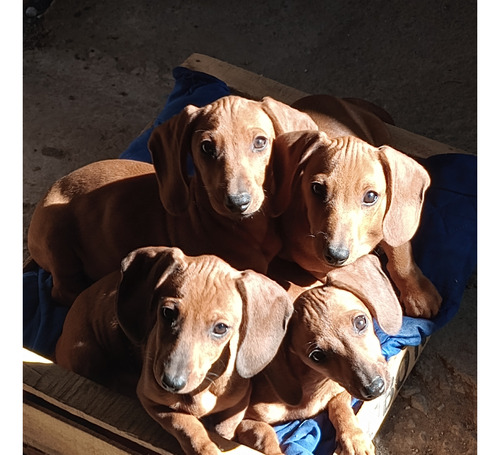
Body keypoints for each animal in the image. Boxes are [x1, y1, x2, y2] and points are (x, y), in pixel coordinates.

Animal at [55, 248, 294, 455]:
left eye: (221, 328)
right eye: (167, 313)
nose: (170, 383)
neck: (202, 389)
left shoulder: (238, 403)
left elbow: (229, 428)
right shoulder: (152, 399)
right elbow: (186, 425)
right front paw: (205, 447)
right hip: (84, 356)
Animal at [236, 255, 404, 455]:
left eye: (361, 322)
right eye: (317, 355)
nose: (375, 388)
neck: (314, 384)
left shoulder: (341, 390)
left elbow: (340, 407)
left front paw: (355, 438)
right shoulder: (238, 424)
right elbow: (265, 432)